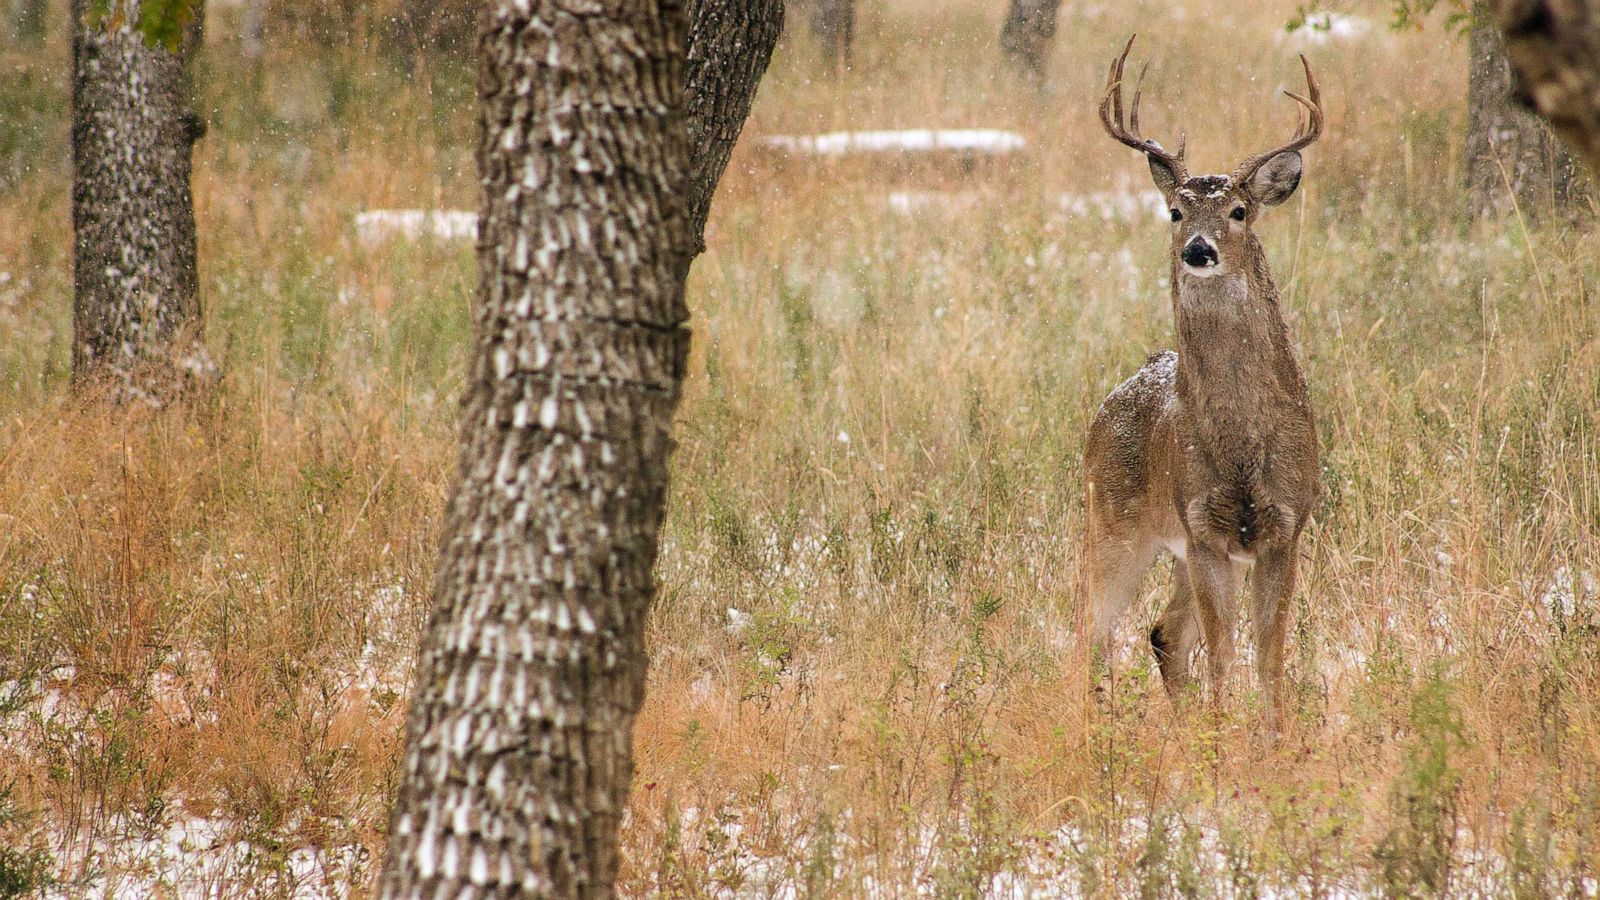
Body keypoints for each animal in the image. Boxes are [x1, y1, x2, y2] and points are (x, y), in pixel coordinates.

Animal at [1082, 36, 1323, 725]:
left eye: (1239, 211)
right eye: (1174, 210)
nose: (1197, 248)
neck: (1243, 446)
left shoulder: (1286, 525)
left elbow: (1267, 657)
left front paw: (1272, 738)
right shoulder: (1203, 526)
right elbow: (1222, 655)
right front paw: (1223, 741)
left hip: (1174, 547)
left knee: (1163, 633)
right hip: (1114, 522)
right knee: (1090, 631)